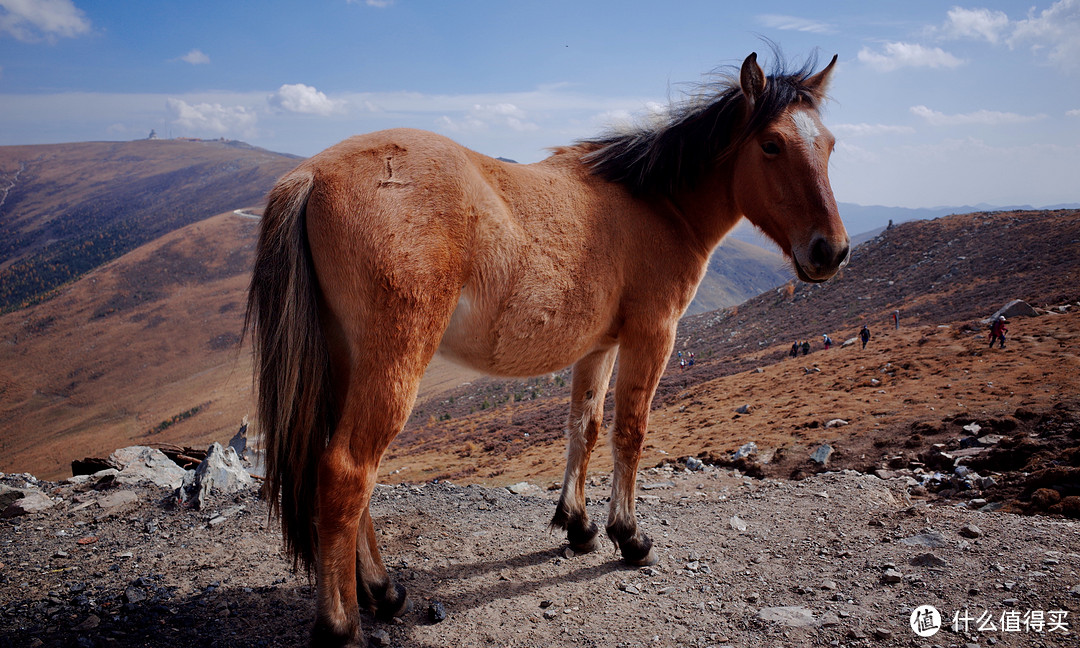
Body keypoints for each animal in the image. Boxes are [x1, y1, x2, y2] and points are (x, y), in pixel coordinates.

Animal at [248, 53, 846, 643]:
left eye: (830, 144)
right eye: (771, 144)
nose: (831, 251)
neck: (657, 206)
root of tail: (311, 175)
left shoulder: (598, 347)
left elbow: (585, 428)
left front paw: (578, 525)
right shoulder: (653, 333)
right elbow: (630, 431)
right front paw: (630, 537)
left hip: (346, 363)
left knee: (342, 469)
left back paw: (383, 591)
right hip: (392, 365)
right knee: (347, 470)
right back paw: (342, 624)